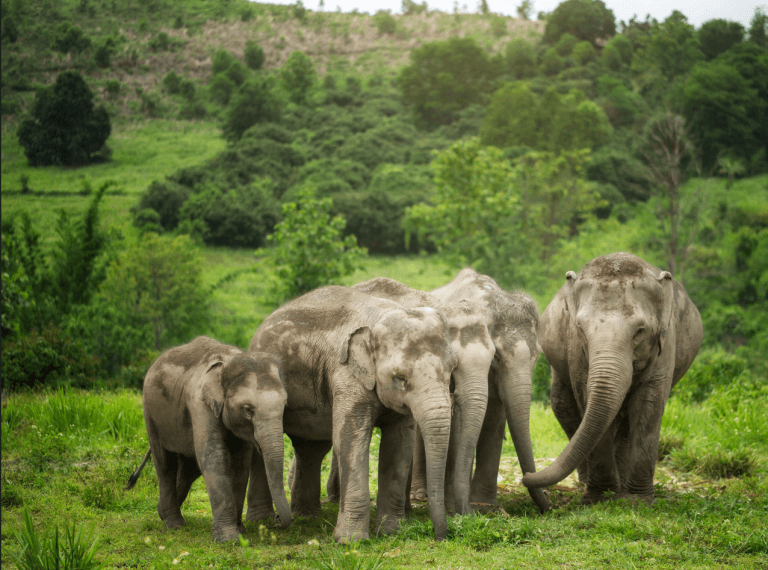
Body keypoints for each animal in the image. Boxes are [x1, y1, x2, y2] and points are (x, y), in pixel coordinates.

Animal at [124, 336, 291, 542]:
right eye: (248, 409)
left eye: (285, 404)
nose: (276, 519)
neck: (228, 361)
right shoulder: (199, 404)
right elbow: (214, 458)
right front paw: (229, 539)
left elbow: (240, 463)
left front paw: (240, 531)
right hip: (150, 413)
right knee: (165, 464)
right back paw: (174, 525)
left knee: (188, 468)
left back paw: (161, 513)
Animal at [245, 285, 458, 543]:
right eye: (400, 378)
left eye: (452, 369)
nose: (441, 536)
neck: (379, 317)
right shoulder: (345, 374)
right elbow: (349, 440)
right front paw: (351, 541)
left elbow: (399, 445)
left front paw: (391, 533)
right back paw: (261, 522)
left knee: (310, 448)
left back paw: (306, 517)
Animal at [522, 252, 703, 505]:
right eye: (580, 327)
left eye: (640, 331)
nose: (526, 476)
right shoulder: (575, 347)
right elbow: (585, 396)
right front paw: (600, 497)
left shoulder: (666, 343)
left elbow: (649, 404)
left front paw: (637, 501)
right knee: (563, 406)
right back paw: (587, 482)